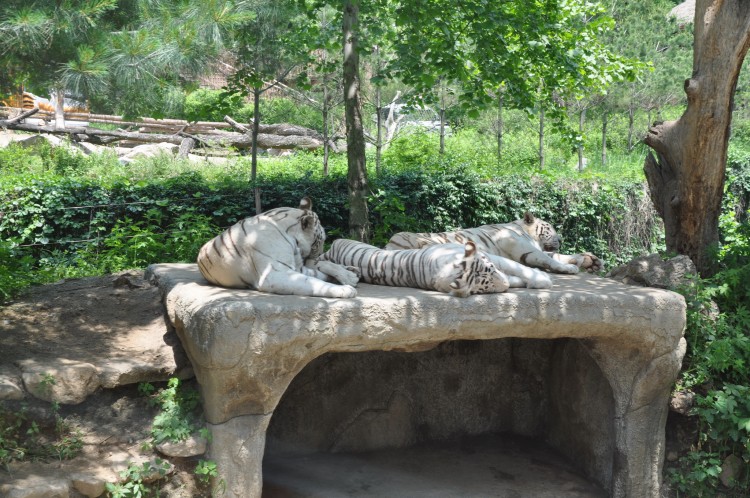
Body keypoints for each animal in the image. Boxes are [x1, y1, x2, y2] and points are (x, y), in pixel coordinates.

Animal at [197, 197, 362, 298]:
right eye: (319, 242)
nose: (320, 252)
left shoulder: (295, 267)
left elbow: (319, 271)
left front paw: (347, 276)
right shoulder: (274, 273)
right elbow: (312, 282)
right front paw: (346, 289)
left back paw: (351, 271)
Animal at [318, 239, 512, 298]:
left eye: (492, 268)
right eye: (487, 289)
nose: (507, 286)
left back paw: (353, 271)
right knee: (321, 263)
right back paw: (349, 277)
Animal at [388, 212, 604, 290]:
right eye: (549, 229)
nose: (561, 239)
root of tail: (391, 244)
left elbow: (557, 255)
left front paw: (590, 260)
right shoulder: (526, 250)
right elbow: (549, 258)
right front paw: (570, 268)